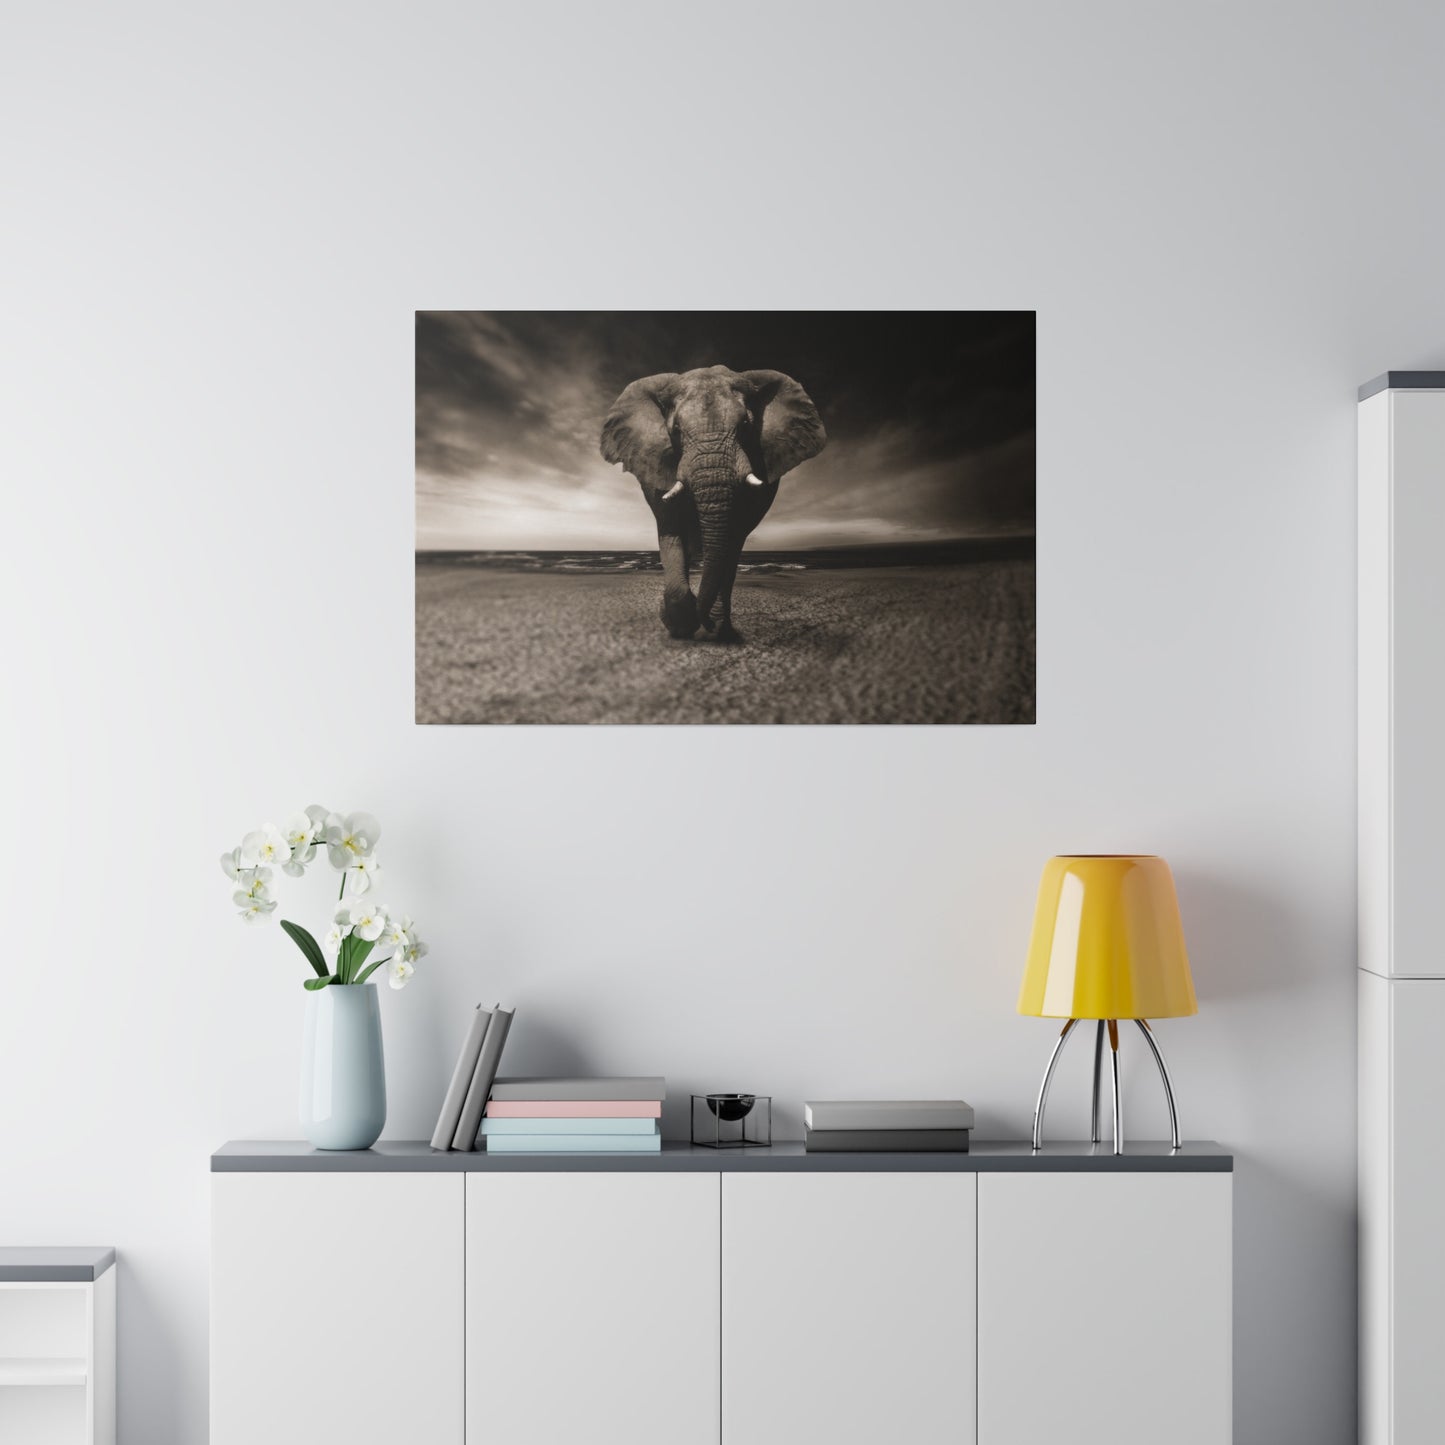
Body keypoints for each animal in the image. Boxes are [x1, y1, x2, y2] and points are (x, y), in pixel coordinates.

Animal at [598, 364, 826, 641]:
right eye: (675, 430)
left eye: (746, 425)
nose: (704, 621)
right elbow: (671, 529)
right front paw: (681, 625)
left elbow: (732, 538)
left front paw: (710, 626)